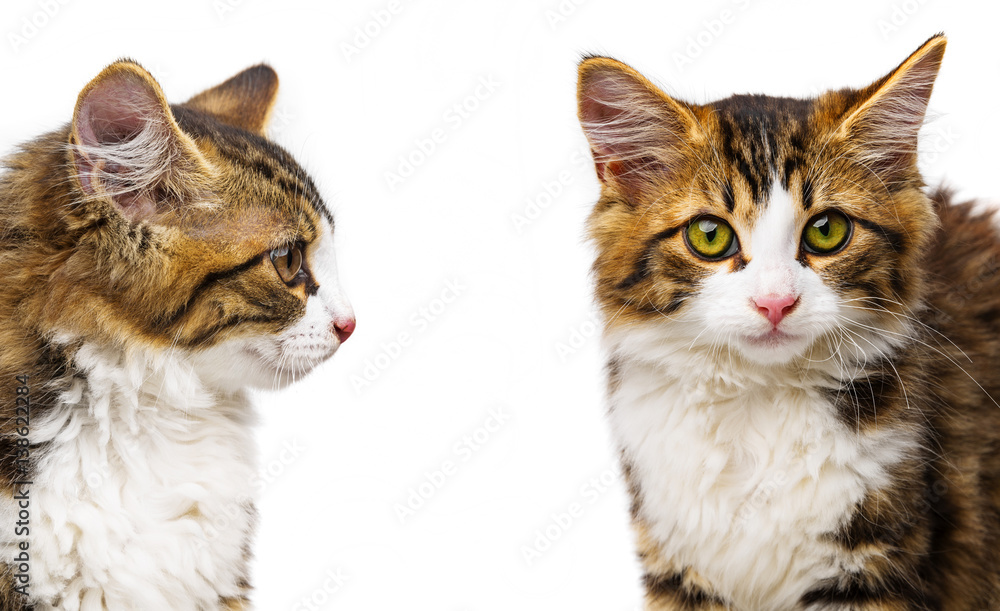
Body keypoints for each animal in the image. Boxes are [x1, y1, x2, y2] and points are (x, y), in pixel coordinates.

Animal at [576, 34, 1000, 611]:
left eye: (827, 231)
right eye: (709, 235)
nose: (775, 303)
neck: (757, 398)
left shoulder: (874, 563)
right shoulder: (679, 562)